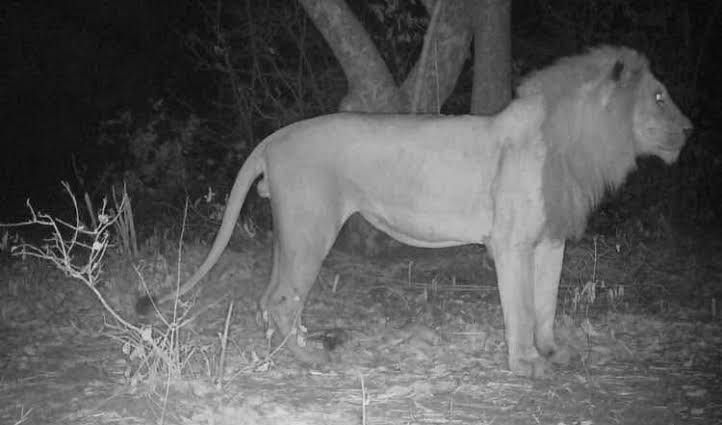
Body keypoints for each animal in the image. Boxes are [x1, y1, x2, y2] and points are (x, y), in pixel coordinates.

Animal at [137, 46, 692, 377]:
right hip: (312, 227)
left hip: (293, 231)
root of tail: (273, 137)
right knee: (280, 298)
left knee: (270, 296)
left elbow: (547, 303)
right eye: (659, 96)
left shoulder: (551, 239)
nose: (690, 129)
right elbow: (520, 306)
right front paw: (525, 363)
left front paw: (553, 351)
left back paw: (290, 349)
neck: (577, 143)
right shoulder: (510, 243)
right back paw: (311, 355)